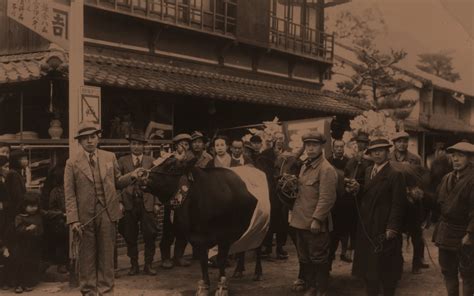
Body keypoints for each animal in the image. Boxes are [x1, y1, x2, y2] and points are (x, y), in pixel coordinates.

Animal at [143, 158, 270, 296]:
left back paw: (258, 273)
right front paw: (204, 287)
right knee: (243, 246)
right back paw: (238, 271)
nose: (143, 175)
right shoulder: (197, 239)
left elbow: (221, 260)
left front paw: (222, 287)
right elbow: (203, 262)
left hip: (263, 226)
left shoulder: (224, 237)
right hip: (246, 229)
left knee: (257, 248)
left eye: (171, 167)